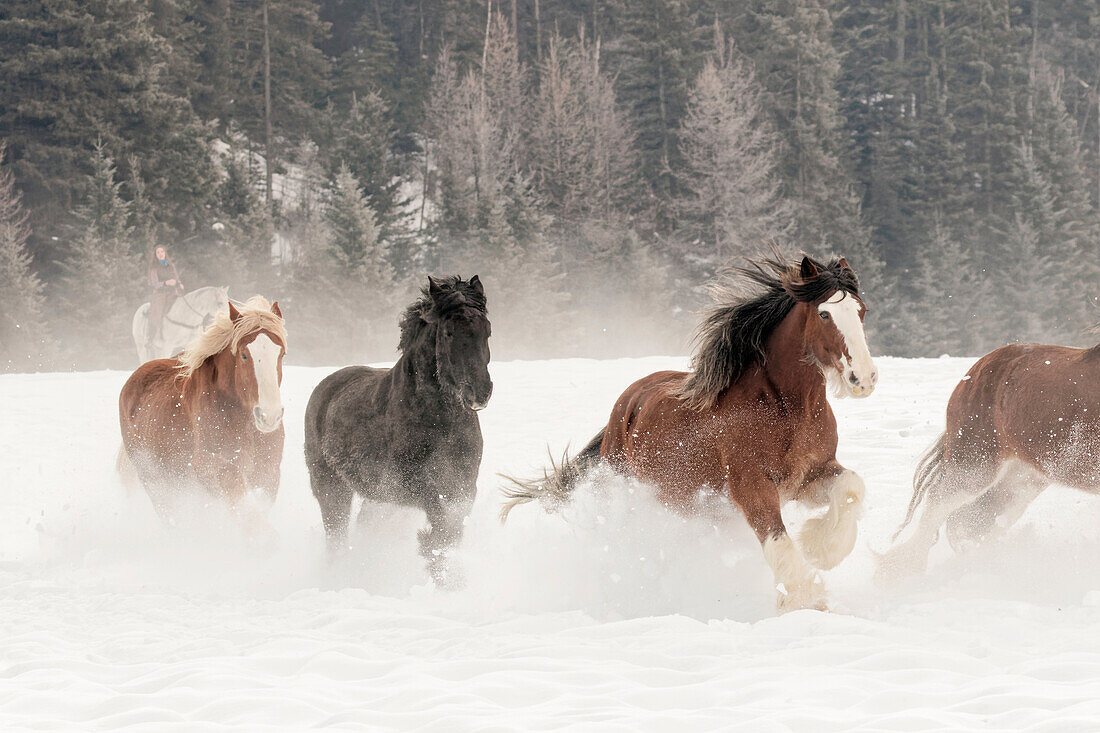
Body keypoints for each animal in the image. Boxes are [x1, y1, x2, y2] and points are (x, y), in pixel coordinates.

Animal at [118, 294, 288, 521]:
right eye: (244, 355)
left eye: (281, 354)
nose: (269, 416)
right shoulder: (213, 469)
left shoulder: (268, 474)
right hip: (154, 480)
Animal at [301, 277, 490, 585]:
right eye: (449, 332)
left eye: (487, 328)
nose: (480, 392)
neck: (440, 420)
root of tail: (326, 386)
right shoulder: (404, 485)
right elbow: (439, 517)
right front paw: (431, 550)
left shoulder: (464, 485)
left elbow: (454, 525)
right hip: (331, 486)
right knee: (336, 534)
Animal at [503, 253, 875, 611]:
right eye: (825, 314)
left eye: (862, 310)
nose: (864, 378)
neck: (788, 408)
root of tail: (626, 403)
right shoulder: (750, 485)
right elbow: (777, 540)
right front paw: (804, 598)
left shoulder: (807, 476)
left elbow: (852, 487)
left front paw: (821, 547)